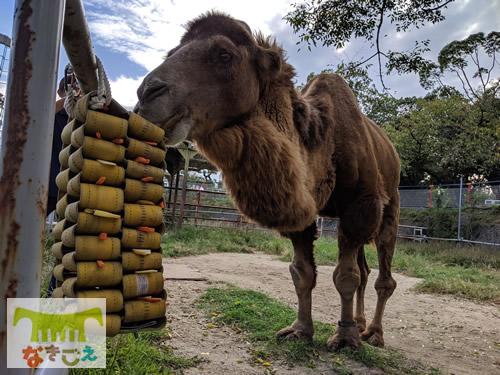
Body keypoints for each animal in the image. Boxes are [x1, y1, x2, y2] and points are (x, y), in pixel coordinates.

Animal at [135, 11, 400, 352]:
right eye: (171, 52)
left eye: (224, 54)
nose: (146, 95)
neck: (320, 143)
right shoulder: (301, 212)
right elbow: (302, 273)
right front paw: (300, 330)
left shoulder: (360, 206)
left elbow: (345, 276)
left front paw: (345, 338)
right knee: (366, 272)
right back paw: (362, 323)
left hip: (389, 206)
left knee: (381, 274)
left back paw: (374, 333)